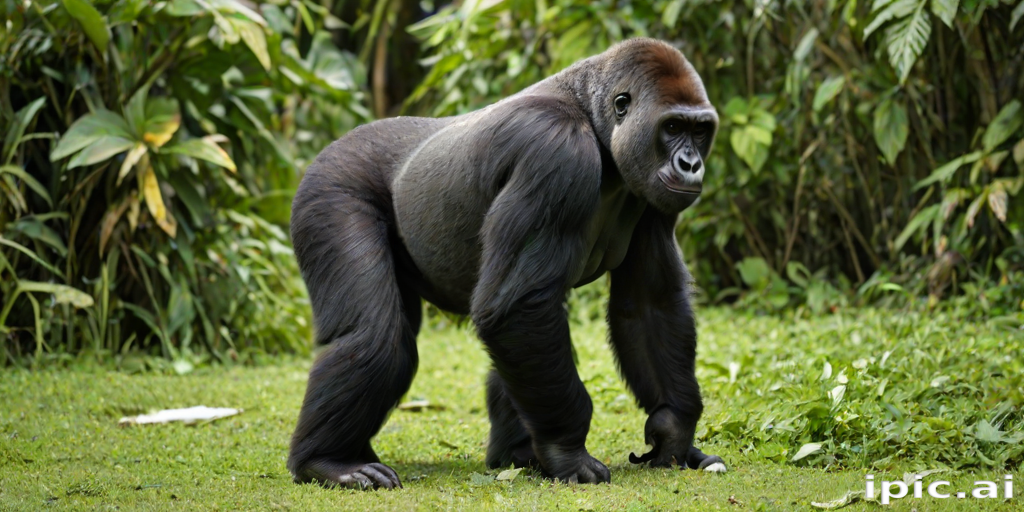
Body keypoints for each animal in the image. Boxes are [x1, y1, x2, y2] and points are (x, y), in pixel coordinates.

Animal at [287, 38, 725, 490]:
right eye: (671, 128)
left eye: (699, 131)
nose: (691, 165)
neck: (594, 118)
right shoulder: (556, 152)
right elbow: (517, 308)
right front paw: (567, 451)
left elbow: (649, 305)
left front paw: (674, 429)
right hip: (329, 184)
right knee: (375, 337)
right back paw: (329, 460)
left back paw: (514, 454)